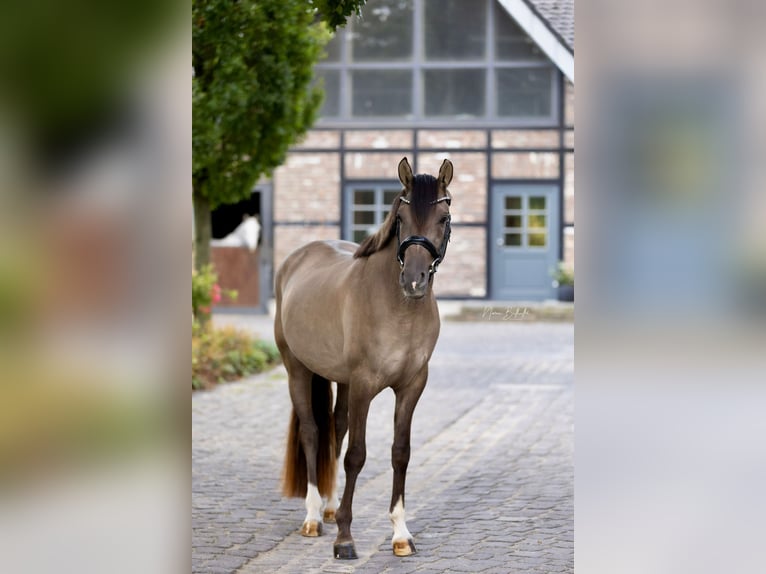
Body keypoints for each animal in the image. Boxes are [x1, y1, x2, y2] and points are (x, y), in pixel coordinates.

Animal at [274, 157, 453, 560]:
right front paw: (344, 538)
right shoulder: (364, 386)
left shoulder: (411, 386)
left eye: (444, 218)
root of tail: (296, 258)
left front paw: (401, 534)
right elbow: (356, 455)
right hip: (298, 370)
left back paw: (328, 505)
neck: (399, 309)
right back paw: (314, 516)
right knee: (313, 432)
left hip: (340, 380)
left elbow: (400, 452)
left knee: (335, 428)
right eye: (400, 216)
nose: (414, 281)